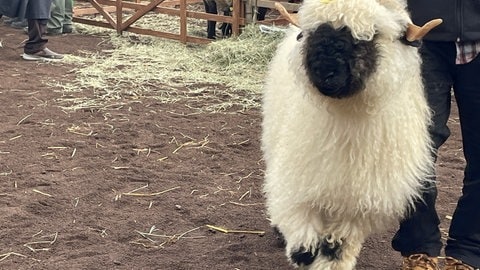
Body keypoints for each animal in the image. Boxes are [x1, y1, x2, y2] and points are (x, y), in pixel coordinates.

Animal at [260, 0, 440, 268]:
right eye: (311, 32)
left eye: (371, 34)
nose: (325, 72)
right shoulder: (299, 185)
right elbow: (303, 245)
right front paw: (301, 252)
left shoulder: (357, 207)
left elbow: (336, 250)